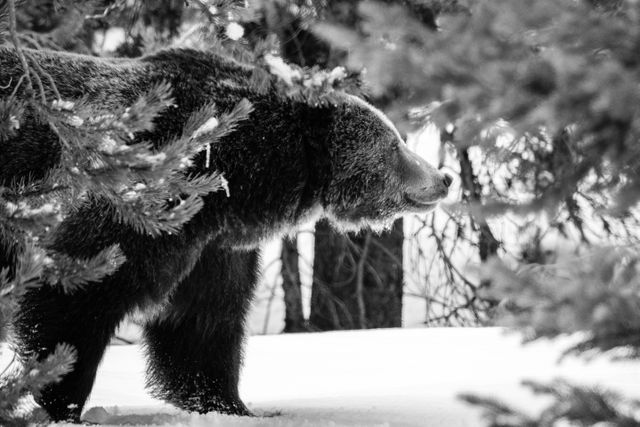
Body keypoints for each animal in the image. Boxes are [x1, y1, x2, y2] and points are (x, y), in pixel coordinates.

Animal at [0, 48, 450, 422]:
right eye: (394, 144)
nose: (443, 178)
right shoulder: (142, 197)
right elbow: (76, 295)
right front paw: (63, 401)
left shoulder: (211, 245)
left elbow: (204, 323)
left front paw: (228, 404)